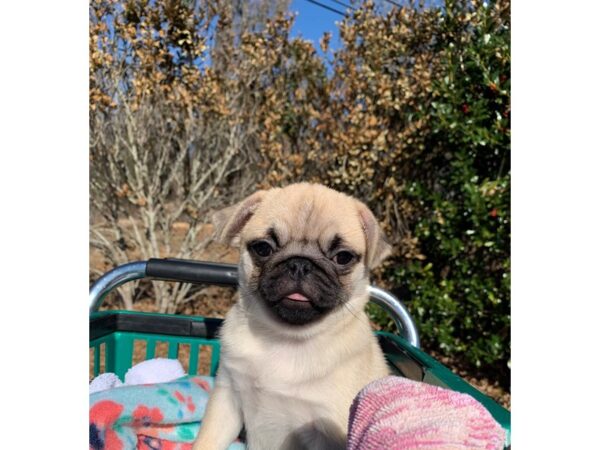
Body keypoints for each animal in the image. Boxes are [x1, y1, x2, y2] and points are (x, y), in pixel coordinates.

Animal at [191, 182, 390, 450]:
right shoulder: (227, 399)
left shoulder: (327, 432)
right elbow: (207, 441)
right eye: (263, 248)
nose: (300, 264)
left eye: (343, 257)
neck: (284, 337)